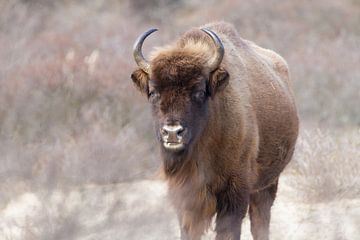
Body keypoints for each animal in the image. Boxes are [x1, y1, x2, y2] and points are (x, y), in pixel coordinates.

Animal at [131, 21, 300, 240]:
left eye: (199, 91)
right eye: (153, 92)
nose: (172, 132)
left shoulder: (234, 193)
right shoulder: (185, 196)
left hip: (268, 184)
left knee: (260, 222)